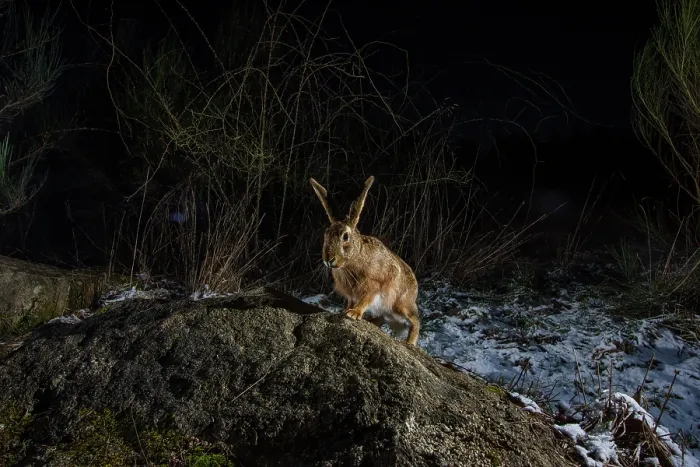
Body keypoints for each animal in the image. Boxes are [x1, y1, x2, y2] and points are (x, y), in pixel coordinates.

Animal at [309, 175, 421, 346]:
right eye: (326, 234)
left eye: (345, 237)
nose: (329, 259)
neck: (352, 261)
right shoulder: (350, 294)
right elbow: (350, 301)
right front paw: (345, 311)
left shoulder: (374, 285)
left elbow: (365, 300)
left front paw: (353, 314)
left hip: (401, 305)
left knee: (415, 320)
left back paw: (410, 342)